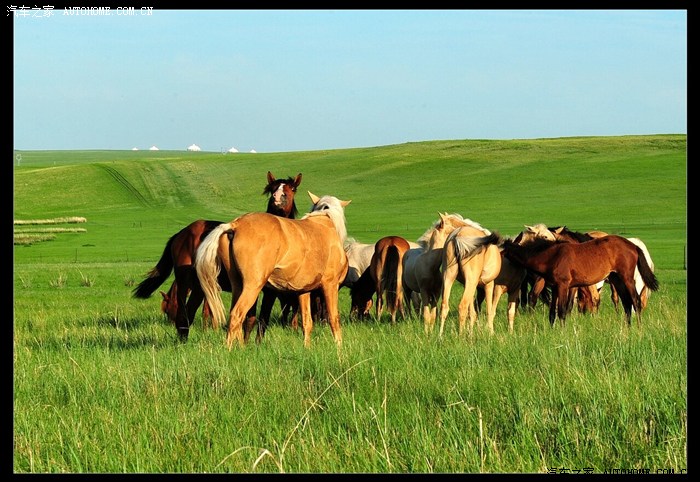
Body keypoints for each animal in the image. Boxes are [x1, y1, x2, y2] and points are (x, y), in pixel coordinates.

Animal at [133, 171, 302, 340]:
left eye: (292, 189)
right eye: (272, 188)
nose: (277, 198)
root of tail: (181, 234)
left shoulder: (268, 291)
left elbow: (258, 319)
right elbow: (250, 317)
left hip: (198, 287)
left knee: (189, 314)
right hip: (185, 282)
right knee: (184, 316)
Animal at [194, 191, 350, 346]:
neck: (325, 223)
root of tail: (236, 224)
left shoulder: (304, 291)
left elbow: (307, 322)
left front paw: (307, 347)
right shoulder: (330, 285)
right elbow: (334, 319)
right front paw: (339, 347)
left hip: (237, 283)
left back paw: (241, 347)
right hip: (253, 286)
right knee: (236, 314)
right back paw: (229, 348)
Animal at [500, 234, 660, 326]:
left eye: (500, 251)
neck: (552, 255)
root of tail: (633, 245)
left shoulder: (563, 286)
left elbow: (562, 311)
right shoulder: (556, 287)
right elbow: (552, 314)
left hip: (627, 278)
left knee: (636, 301)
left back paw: (638, 328)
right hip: (616, 279)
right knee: (627, 304)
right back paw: (627, 328)